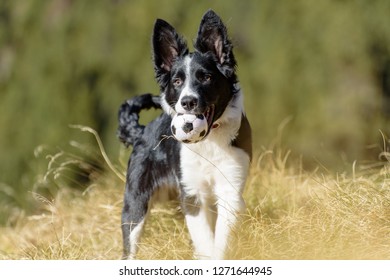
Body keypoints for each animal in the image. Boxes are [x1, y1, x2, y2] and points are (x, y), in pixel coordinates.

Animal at [118, 9, 253, 260]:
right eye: (177, 81)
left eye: (206, 77)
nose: (188, 102)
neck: (208, 143)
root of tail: (142, 131)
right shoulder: (191, 193)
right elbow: (205, 241)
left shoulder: (230, 186)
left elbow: (220, 241)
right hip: (136, 202)